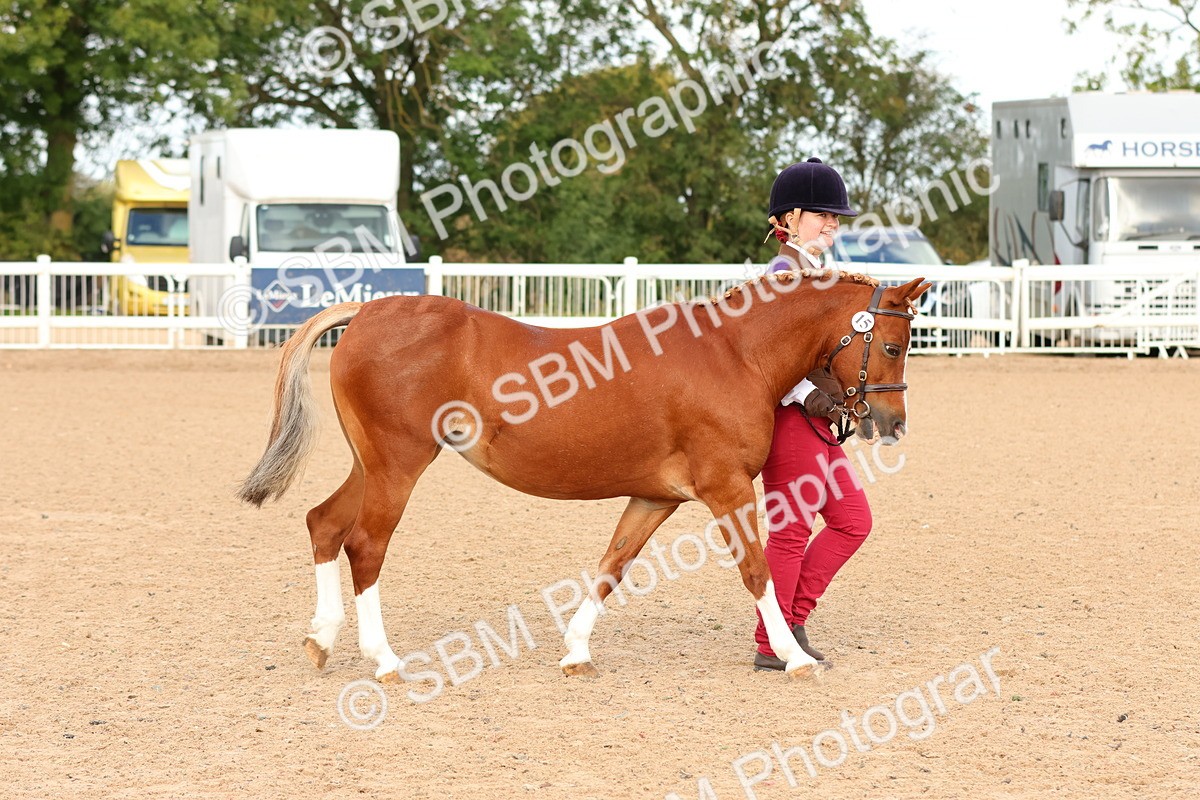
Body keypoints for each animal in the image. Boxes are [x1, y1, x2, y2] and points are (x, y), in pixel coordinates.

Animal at [238, 267, 931, 682]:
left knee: (324, 524)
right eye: (893, 345)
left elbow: (612, 566)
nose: (894, 423)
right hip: (398, 465)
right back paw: (382, 660)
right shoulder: (727, 490)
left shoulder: (654, 498)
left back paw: (321, 640)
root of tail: (365, 313)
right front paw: (792, 657)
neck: (735, 355)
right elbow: (757, 570)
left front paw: (575, 651)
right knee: (365, 545)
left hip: (372, 465)